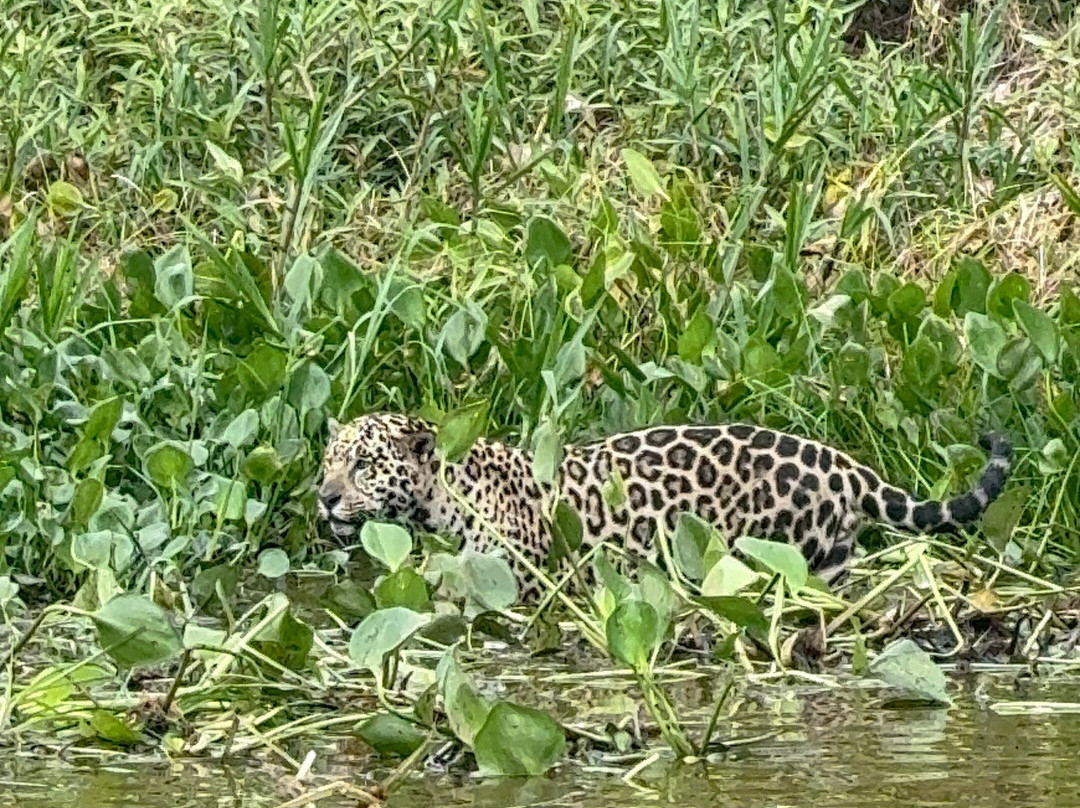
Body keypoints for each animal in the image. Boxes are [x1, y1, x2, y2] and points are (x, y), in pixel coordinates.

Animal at [316, 413, 1012, 599]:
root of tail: (841, 461)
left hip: (768, 551)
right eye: (328, 463)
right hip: (827, 557)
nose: (323, 499)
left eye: (364, 465)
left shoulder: (524, 581)